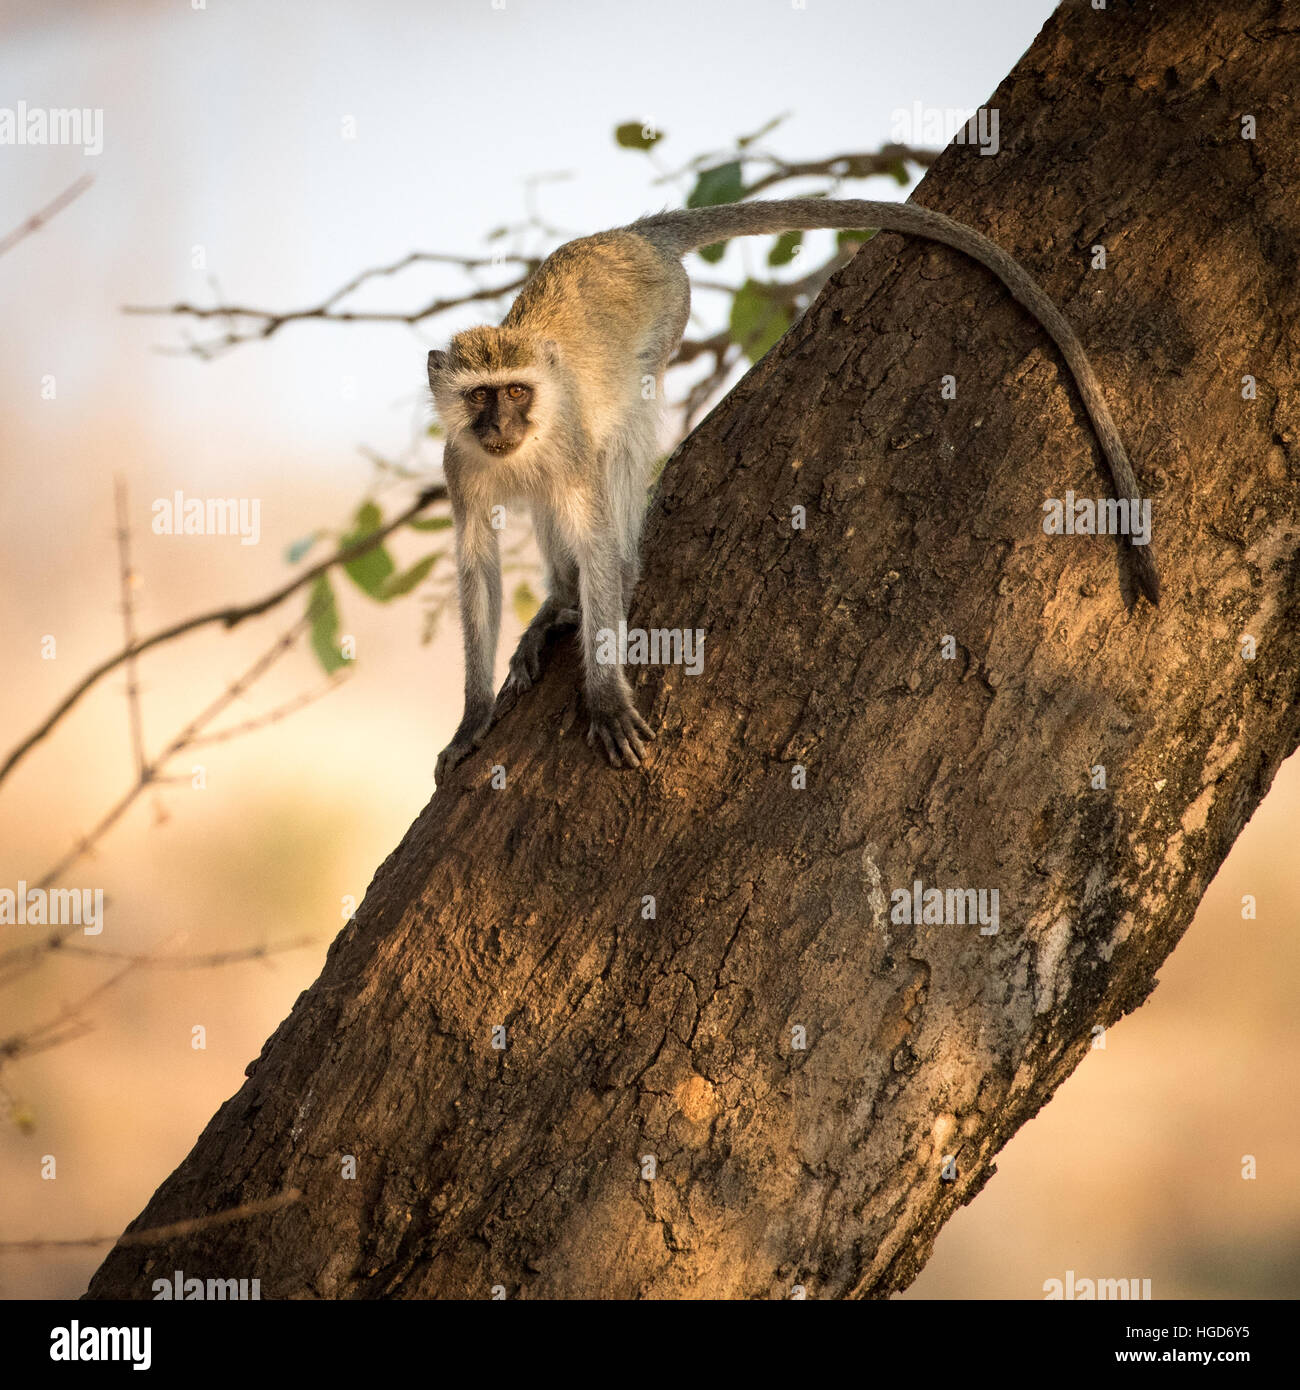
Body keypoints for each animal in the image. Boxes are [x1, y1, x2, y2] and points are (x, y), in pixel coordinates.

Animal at [427, 196, 1159, 781]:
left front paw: (605, 694)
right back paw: (557, 603)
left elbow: (596, 537)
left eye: (518, 392)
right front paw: (473, 716)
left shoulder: (567, 441)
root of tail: (629, 236)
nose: (502, 427)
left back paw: (602, 583)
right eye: (481, 397)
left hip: (666, 317)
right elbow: (477, 564)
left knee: (625, 440)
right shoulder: (459, 463)